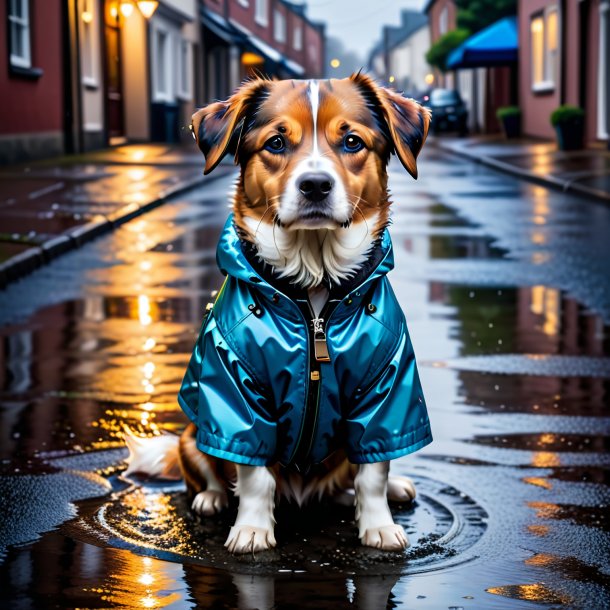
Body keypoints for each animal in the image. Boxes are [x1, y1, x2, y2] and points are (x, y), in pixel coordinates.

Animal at [123, 73, 430, 552]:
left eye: (352, 141)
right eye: (277, 142)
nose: (316, 185)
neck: (313, 289)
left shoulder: (387, 389)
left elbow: (373, 472)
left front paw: (378, 524)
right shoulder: (237, 393)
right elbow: (254, 475)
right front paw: (251, 529)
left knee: (350, 478)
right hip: (194, 432)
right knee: (204, 468)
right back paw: (212, 498)